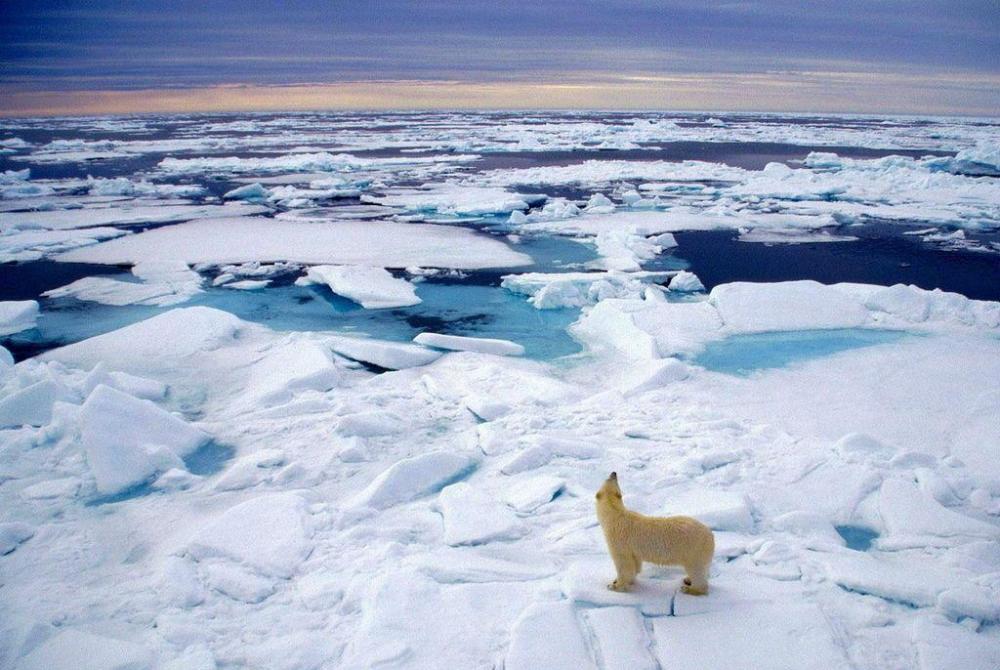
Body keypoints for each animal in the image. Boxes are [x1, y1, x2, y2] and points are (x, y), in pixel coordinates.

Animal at [592, 472, 712, 600]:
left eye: (610, 479)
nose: (614, 473)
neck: (614, 515)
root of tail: (711, 536)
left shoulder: (618, 540)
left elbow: (624, 564)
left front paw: (614, 586)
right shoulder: (634, 550)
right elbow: (635, 564)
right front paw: (623, 581)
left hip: (694, 550)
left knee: (697, 570)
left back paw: (689, 588)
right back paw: (688, 579)